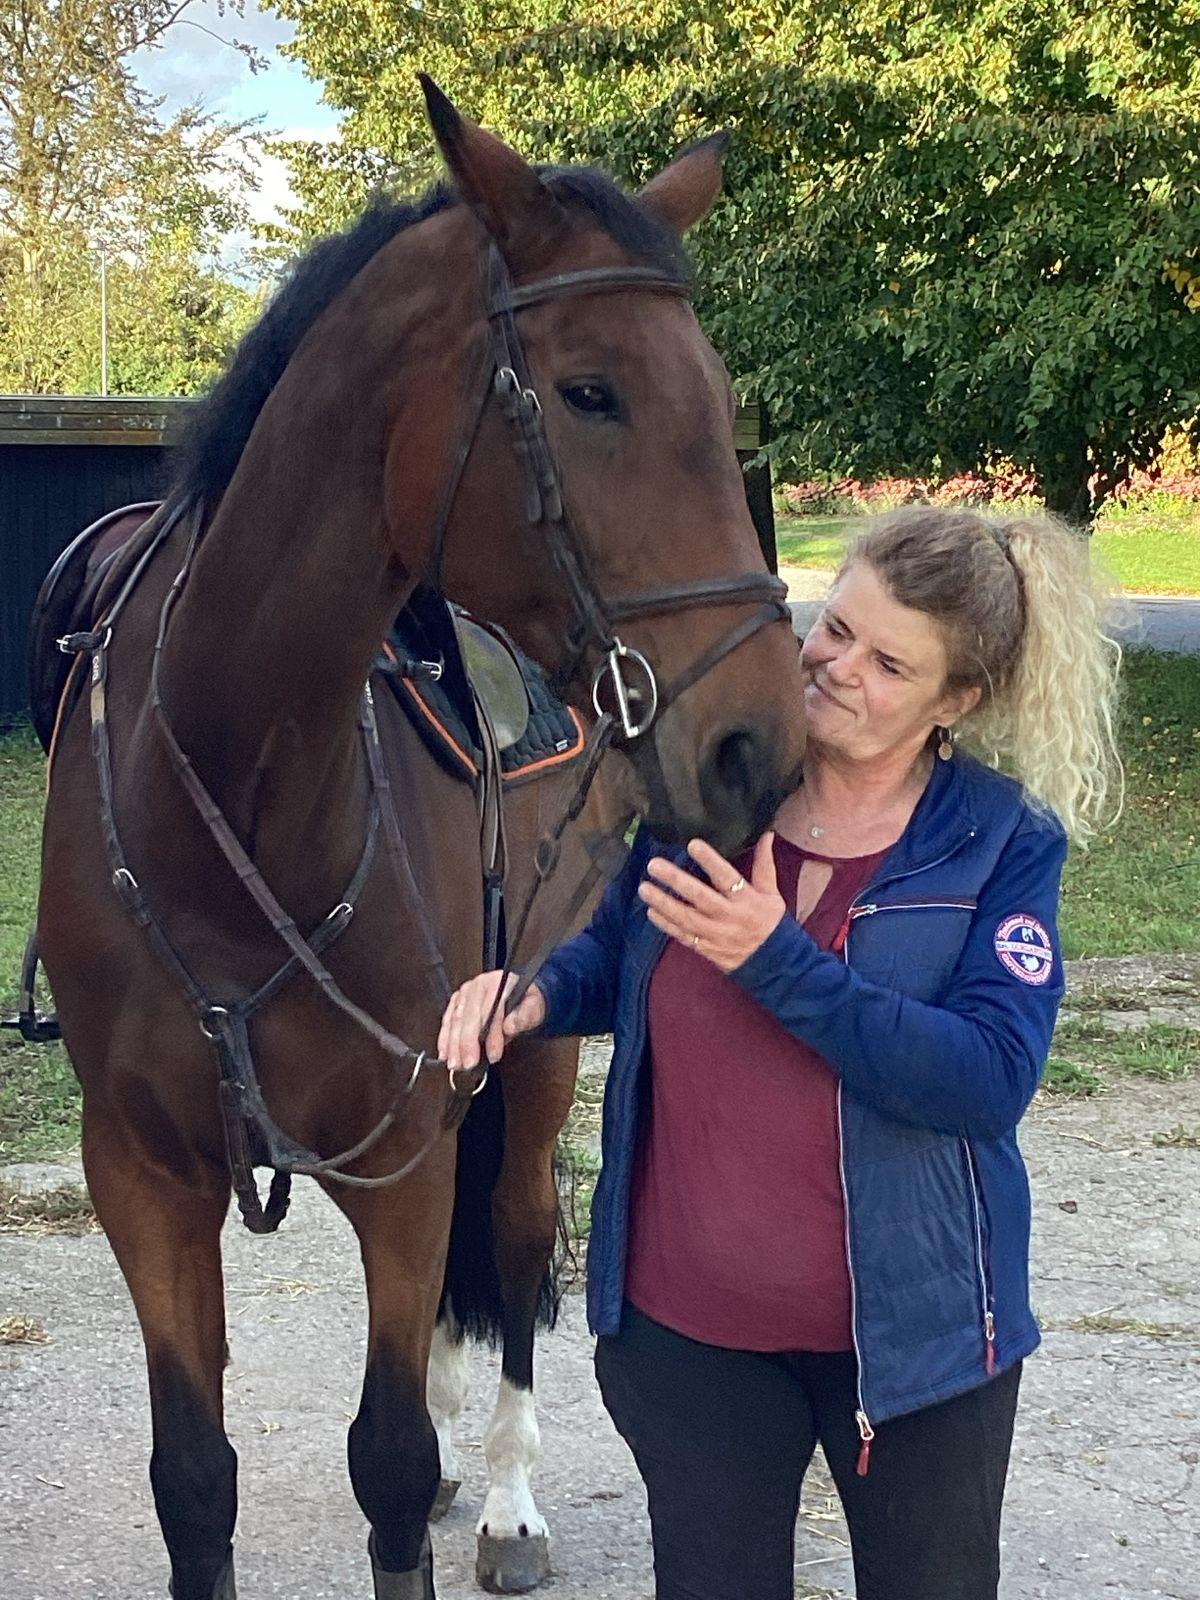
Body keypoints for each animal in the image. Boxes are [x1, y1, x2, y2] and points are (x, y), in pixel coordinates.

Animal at [32, 80, 807, 1600]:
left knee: (507, 1251)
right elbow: (193, 1479)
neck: (236, 791)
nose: (759, 741)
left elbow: (384, 1459)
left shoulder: (410, 1144)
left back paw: (503, 1498)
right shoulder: (141, 1171)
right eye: (592, 390)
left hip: (533, 1064)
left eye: (719, 395)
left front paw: (452, 1474)